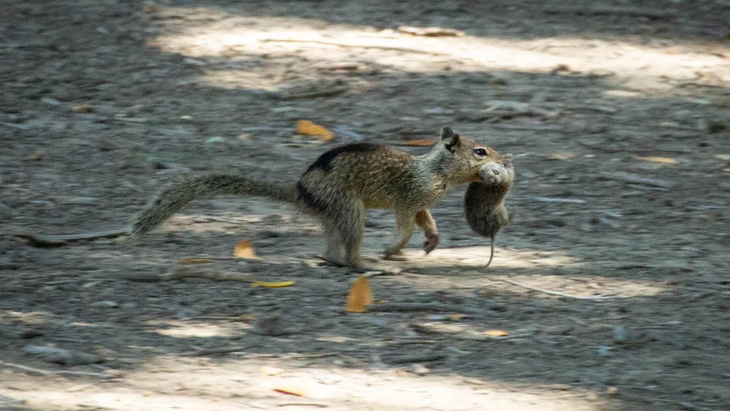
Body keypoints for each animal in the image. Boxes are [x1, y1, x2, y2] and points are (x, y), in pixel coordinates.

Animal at [131, 129, 504, 270]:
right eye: (480, 151)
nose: (505, 159)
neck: (435, 170)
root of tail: (300, 191)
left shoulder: (421, 203)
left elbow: (427, 221)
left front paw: (432, 241)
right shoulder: (408, 198)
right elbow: (405, 226)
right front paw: (393, 248)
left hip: (334, 215)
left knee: (332, 247)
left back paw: (331, 259)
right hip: (350, 209)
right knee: (351, 251)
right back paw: (367, 264)